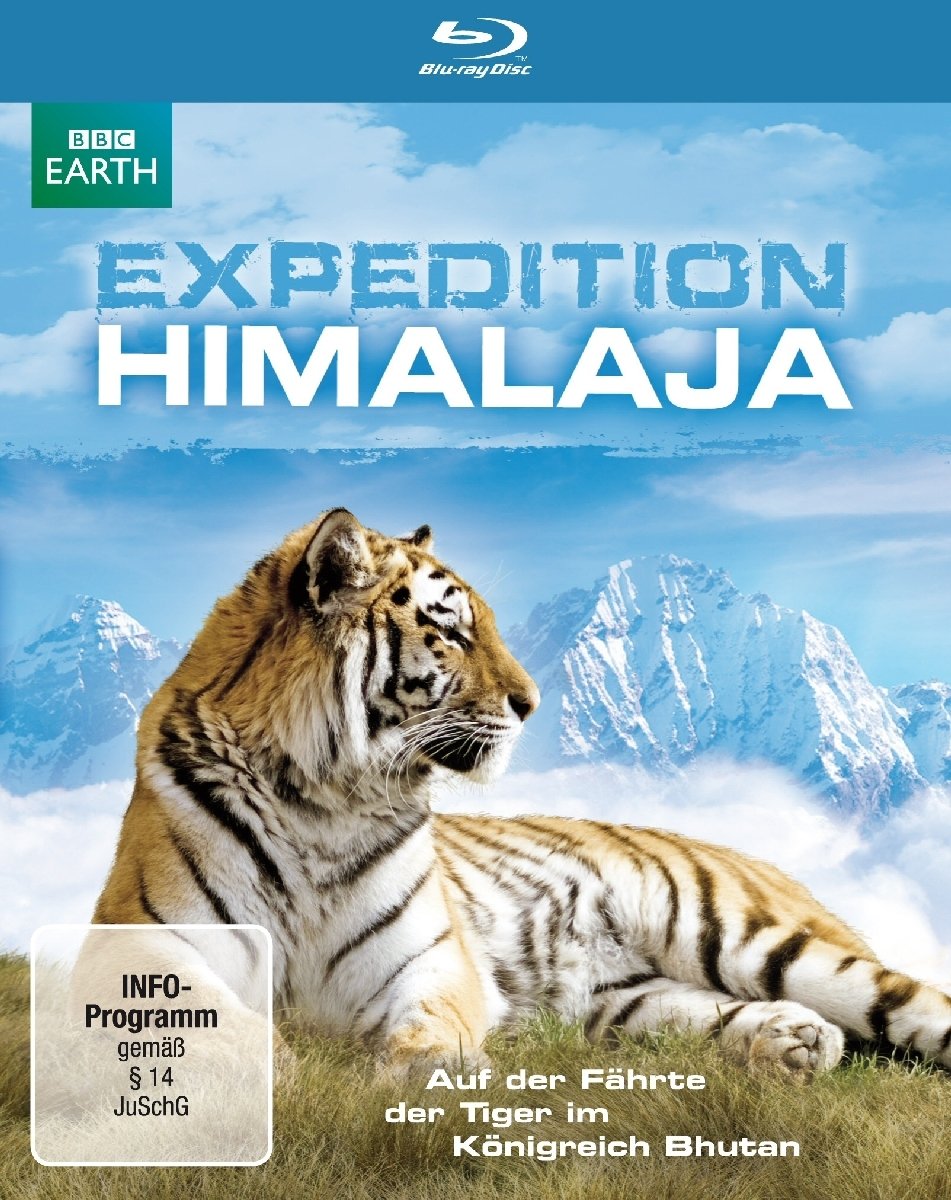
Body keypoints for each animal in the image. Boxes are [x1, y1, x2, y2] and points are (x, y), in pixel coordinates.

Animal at [93, 507, 951, 1080]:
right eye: (452, 632)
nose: (533, 702)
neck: (321, 800)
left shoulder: (429, 963)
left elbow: (430, 1027)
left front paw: (436, 1079)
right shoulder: (142, 948)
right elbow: (222, 1033)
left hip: (748, 937)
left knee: (916, 1004)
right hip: (628, 1002)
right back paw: (796, 1045)